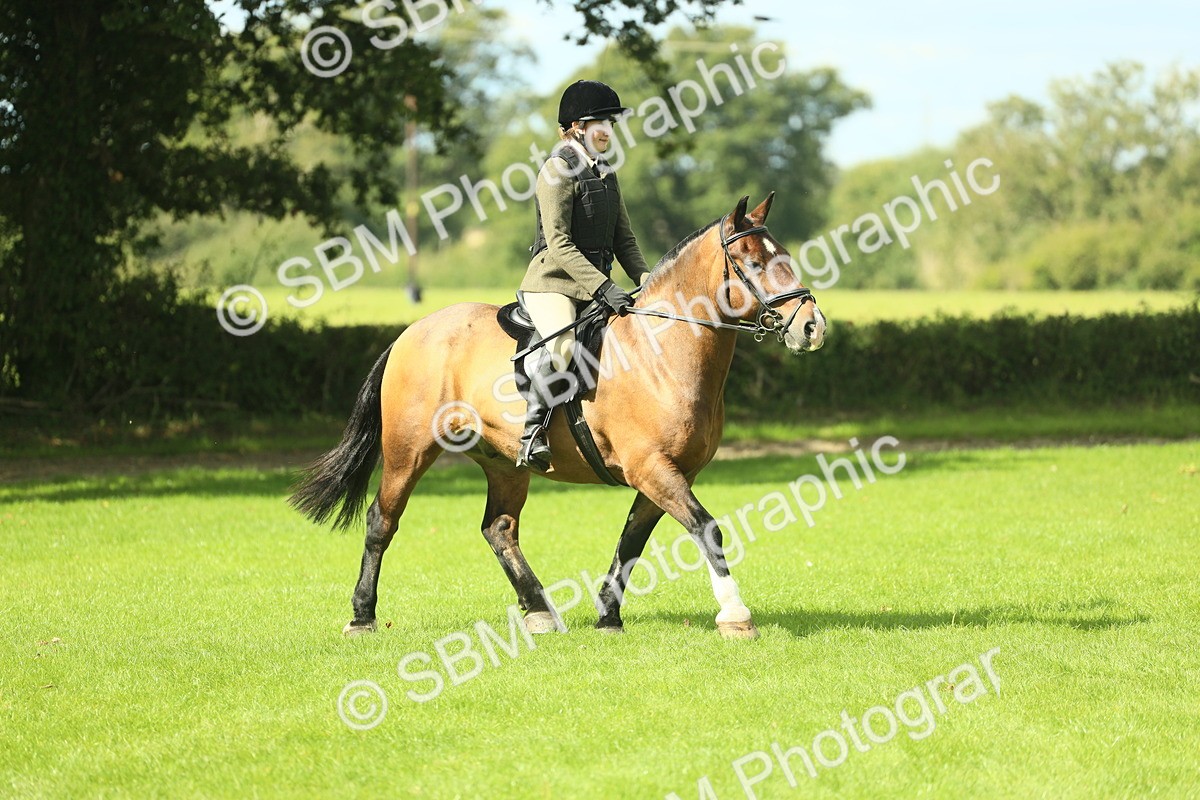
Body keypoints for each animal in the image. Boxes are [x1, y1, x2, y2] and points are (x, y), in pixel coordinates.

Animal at [289, 193, 827, 640]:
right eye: (753, 263)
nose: (812, 327)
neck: (663, 350)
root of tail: (411, 332)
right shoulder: (652, 468)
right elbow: (706, 527)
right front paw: (735, 616)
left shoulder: (670, 473)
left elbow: (631, 541)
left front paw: (608, 616)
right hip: (409, 449)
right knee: (383, 520)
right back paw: (362, 616)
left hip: (504, 462)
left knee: (499, 529)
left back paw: (540, 611)